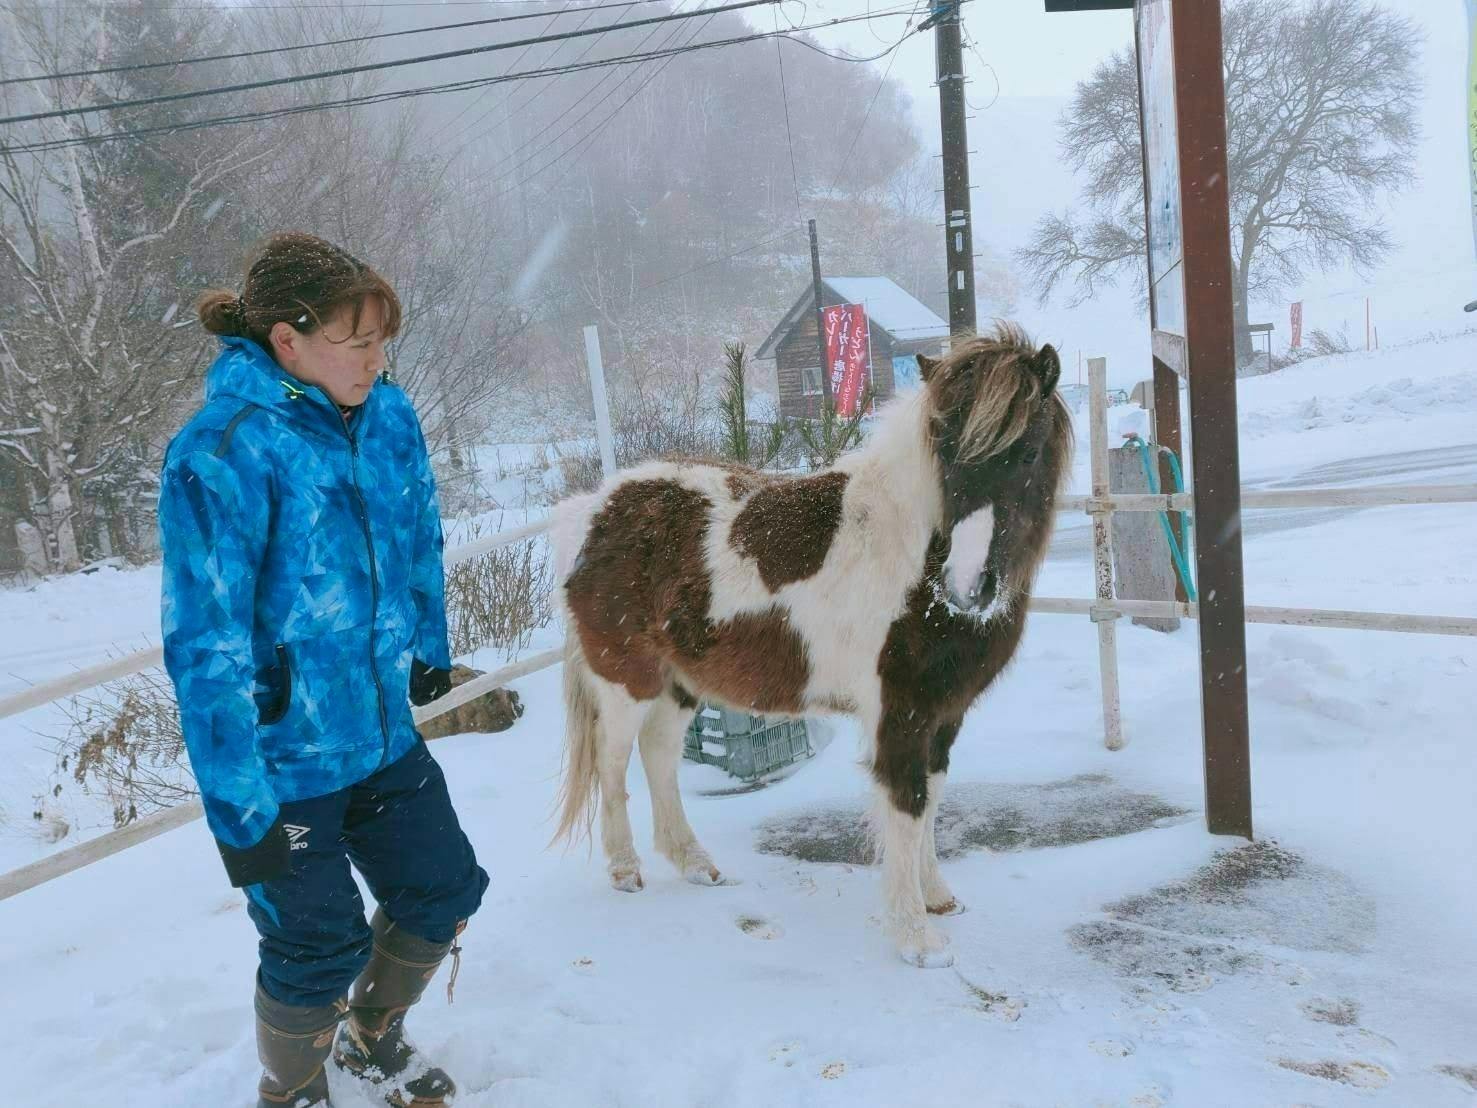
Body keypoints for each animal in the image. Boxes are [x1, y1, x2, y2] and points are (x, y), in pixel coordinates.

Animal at [549, 325, 1069, 969]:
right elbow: (907, 805)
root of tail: (594, 509)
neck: (913, 560)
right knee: (614, 762)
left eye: (1028, 454)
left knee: (660, 756)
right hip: (626, 682)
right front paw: (916, 939)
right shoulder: (899, 714)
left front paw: (937, 898)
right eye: (945, 454)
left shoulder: (944, 714)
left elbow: (933, 799)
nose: (967, 586)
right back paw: (625, 870)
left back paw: (694, 863)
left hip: (679, 685)